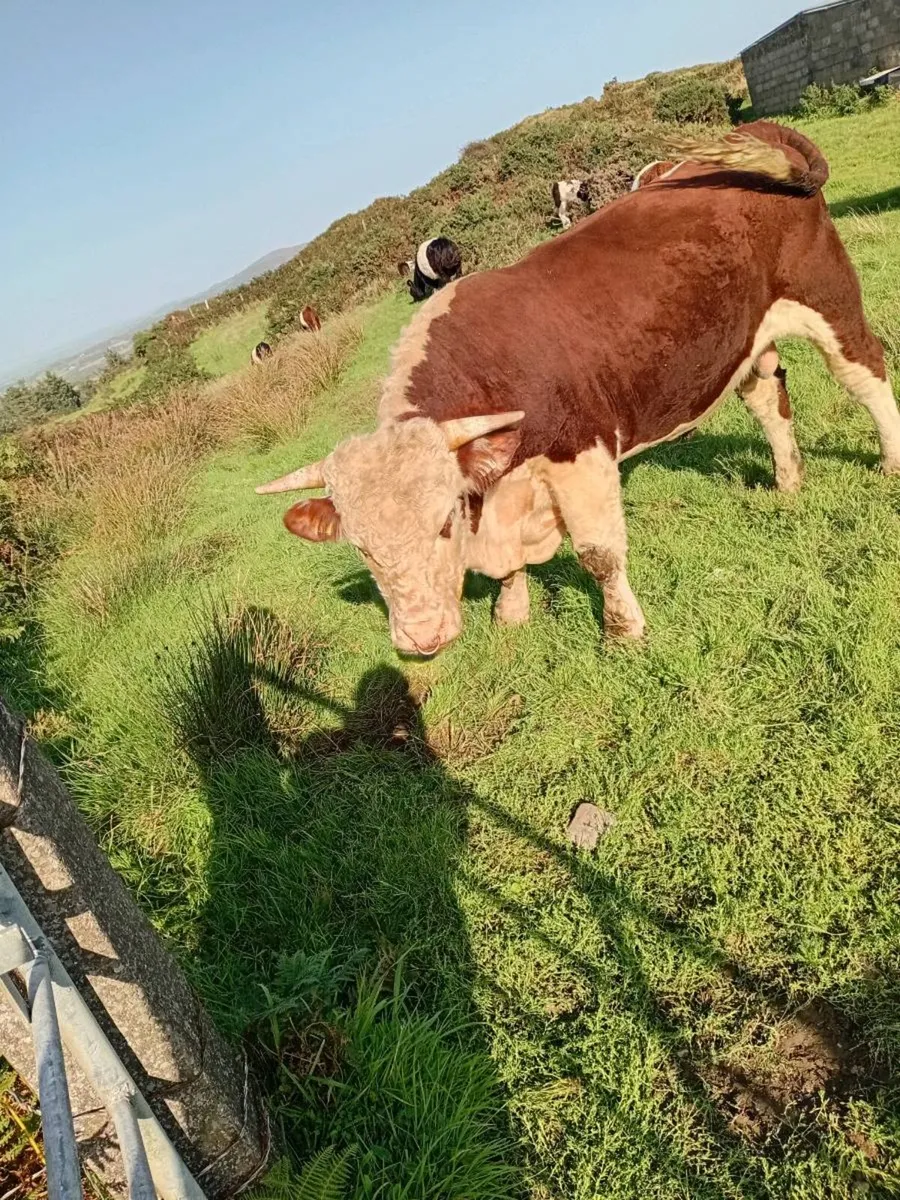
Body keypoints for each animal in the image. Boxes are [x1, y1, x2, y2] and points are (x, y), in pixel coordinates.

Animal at [256, 121, 900, 659]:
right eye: (362, 548)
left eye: (442, 523)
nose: (421, 639)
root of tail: (760, 129)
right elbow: (507, 571)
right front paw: (512, 612)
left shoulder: (582, 454)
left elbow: (599, 554)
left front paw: (623, 632)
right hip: (745, 340)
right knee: (769, 401)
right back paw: (788, 483)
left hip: (827, 297)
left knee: (867, 372)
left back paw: (890, 463)